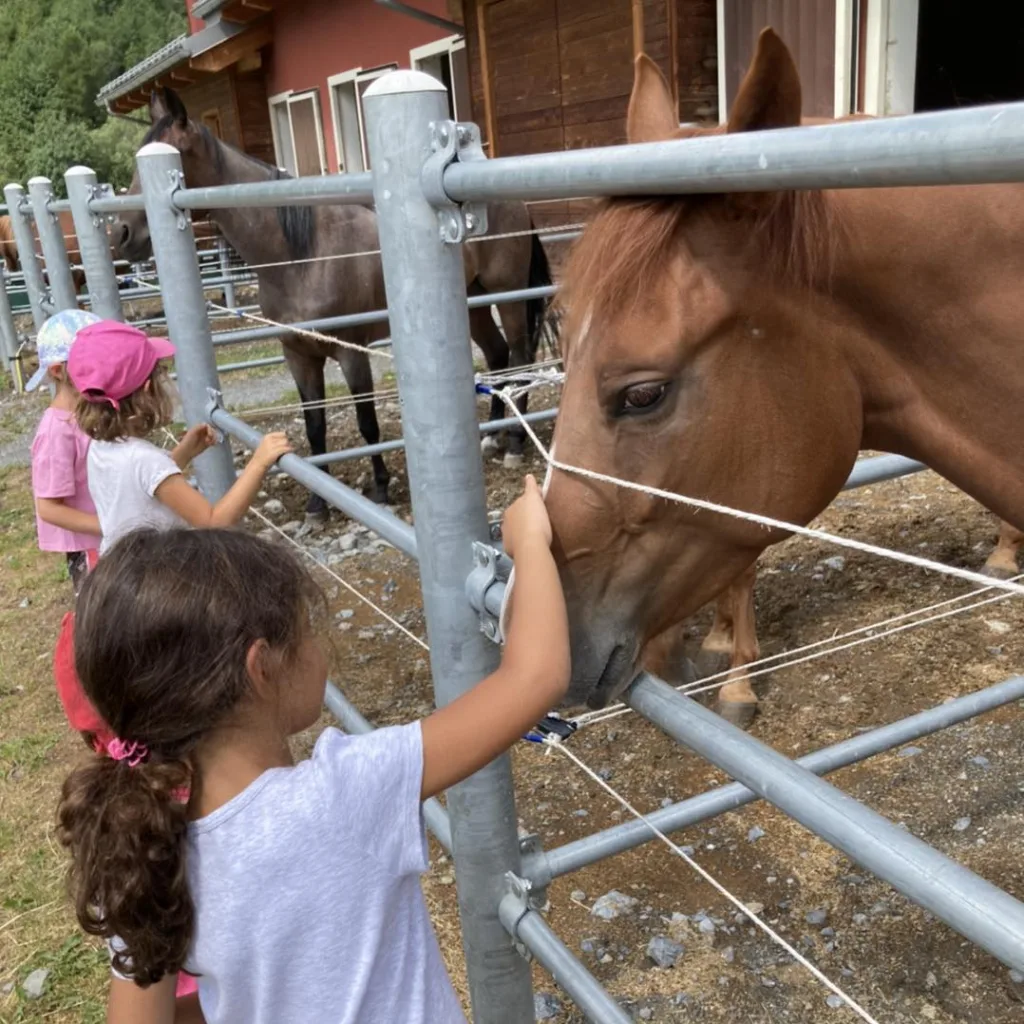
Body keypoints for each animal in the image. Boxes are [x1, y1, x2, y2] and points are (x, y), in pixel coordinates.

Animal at [114, 87, 552, 516]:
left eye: (175, 152)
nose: (121, 233)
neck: (303, 256)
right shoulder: (299, 355)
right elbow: (314, 426)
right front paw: (317, 501)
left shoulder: (350, 352)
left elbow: (367, 421)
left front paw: (380, 487)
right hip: (473, 300)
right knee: (497, 355)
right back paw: (493, 437)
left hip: (508, 295)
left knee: (520, 356)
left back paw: (515, 442)